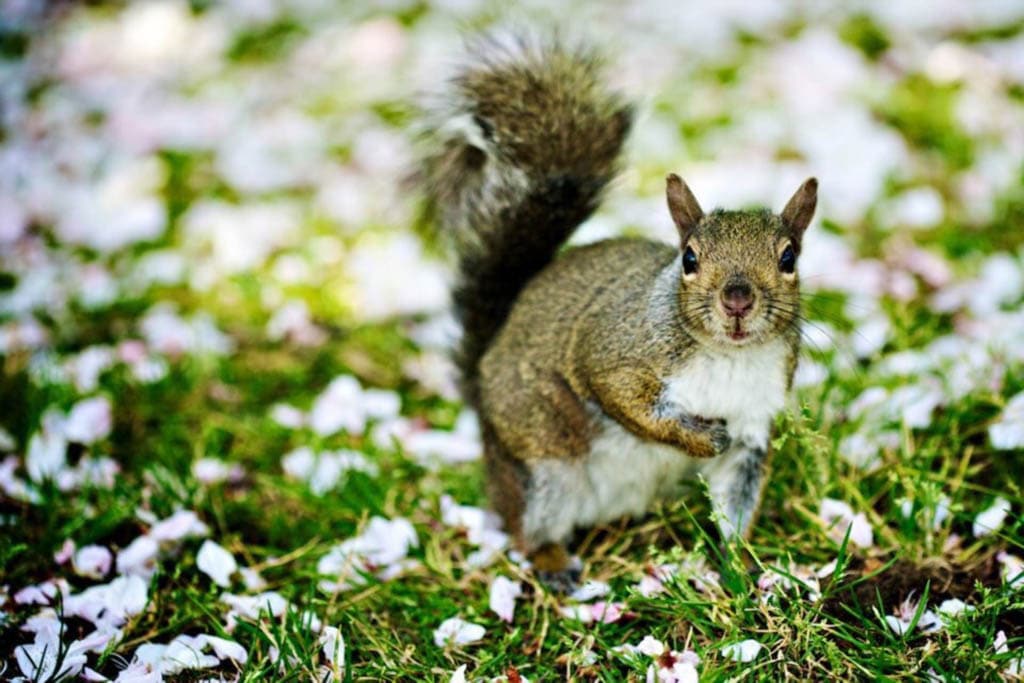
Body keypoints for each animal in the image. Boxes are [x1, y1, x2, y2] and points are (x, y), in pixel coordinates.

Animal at [417, 38, 815, 593]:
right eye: (689, 258)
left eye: (789, 258)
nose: (737, 299)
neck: (729, 358)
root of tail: (481, 377)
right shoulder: (615, 352)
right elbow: (624, 399)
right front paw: (699, 438)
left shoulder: (754, 428)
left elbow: (736, 504)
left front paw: (739, 568)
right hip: (543, 464)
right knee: (527, 529)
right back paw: (553, 562)